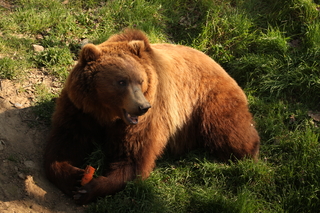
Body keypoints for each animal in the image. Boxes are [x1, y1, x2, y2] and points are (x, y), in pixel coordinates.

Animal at [44, 29, 260, 204]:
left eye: (141, 81)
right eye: (121, 81)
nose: (143, 107)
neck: (106, 114)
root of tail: (220, 65)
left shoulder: (145, 120)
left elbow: (133, 158)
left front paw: (91, 188)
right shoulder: (80, 109)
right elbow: (66, 141)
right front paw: (74, 176)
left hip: (209, 101)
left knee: (229, 131)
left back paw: (249, 153)